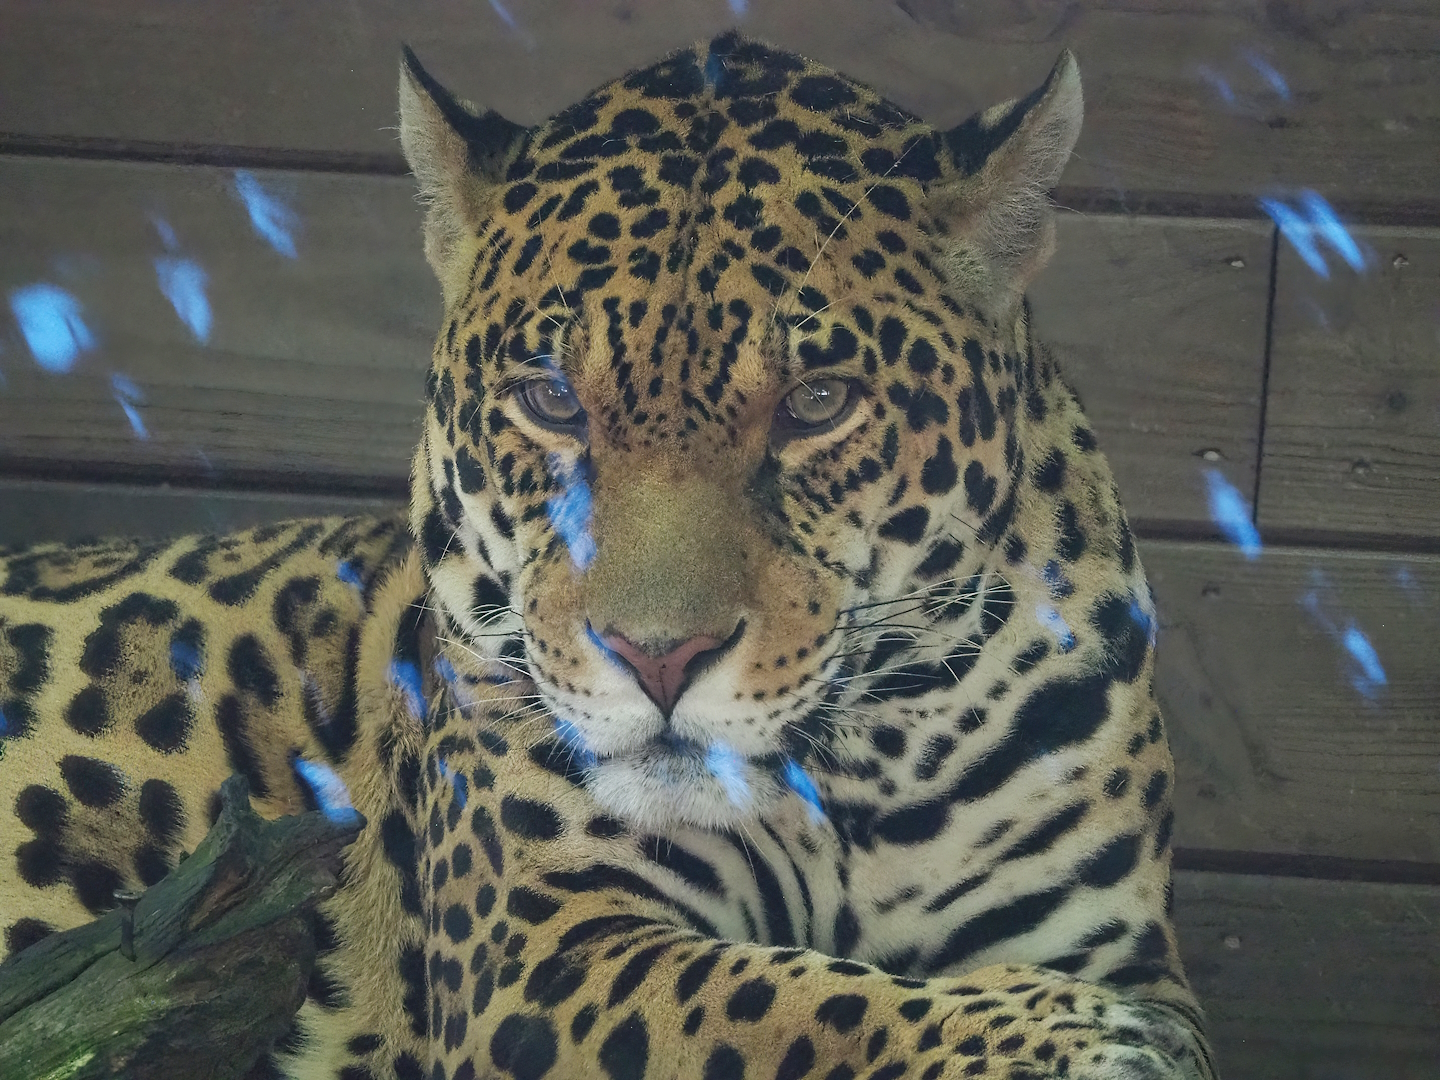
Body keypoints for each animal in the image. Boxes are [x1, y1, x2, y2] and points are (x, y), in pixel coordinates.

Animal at [1, 32, 1217, 1080]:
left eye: (818, 404)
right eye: (551, 402)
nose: (658, 659)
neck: (851, 782)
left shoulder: (1107, 939)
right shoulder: (541, 946)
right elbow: (794, 1004)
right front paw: (1080, 1040)